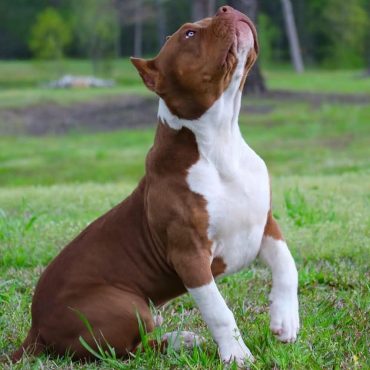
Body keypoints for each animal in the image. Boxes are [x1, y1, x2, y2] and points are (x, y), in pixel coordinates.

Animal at [11, 5, 300, 368]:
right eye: (189, 33)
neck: (220, 142)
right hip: (125, 305)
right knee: (128, 350)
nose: (226, 8)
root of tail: (35, 328)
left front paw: (285, 320)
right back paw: (181, 341)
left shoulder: (265, 223)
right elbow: (219, 310)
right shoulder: (189, 254)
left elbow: (287, 265)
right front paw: (236, 354)